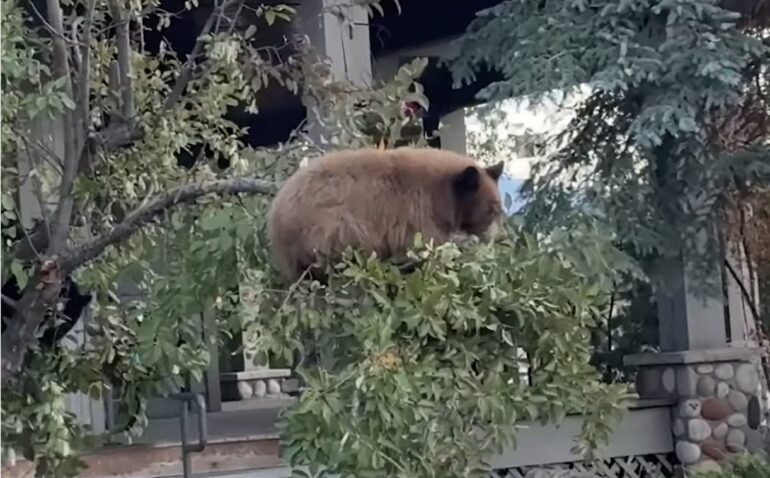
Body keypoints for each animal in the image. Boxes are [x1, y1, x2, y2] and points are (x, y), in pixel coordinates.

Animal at [267, 146, 505, 282]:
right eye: (491, 210)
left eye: (499, 210)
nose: (497, 238)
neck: (442, 193)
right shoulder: (416, 212)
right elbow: (425, 248)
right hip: (331, 226)